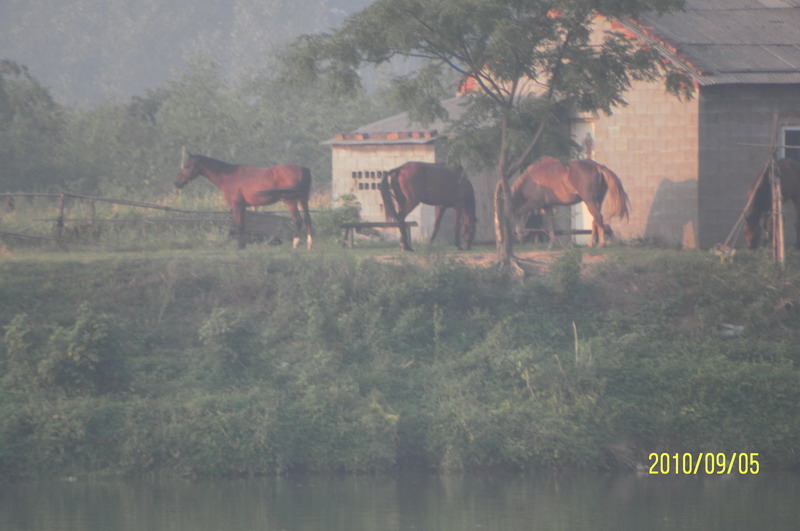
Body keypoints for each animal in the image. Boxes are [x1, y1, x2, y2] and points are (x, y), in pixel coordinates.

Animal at [175, 153, 312, 250]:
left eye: (187, 166)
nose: (177, 183)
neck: (229, 176)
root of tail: (304, 169)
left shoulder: (237, 205)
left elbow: (239, 225)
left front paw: (240, 246)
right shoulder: (243, 207)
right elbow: (243, 225)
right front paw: (243, 245)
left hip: (291, 202)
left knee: (298, 220)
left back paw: (295, 244)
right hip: (303, 200)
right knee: (307, 220)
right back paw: (310, 245)